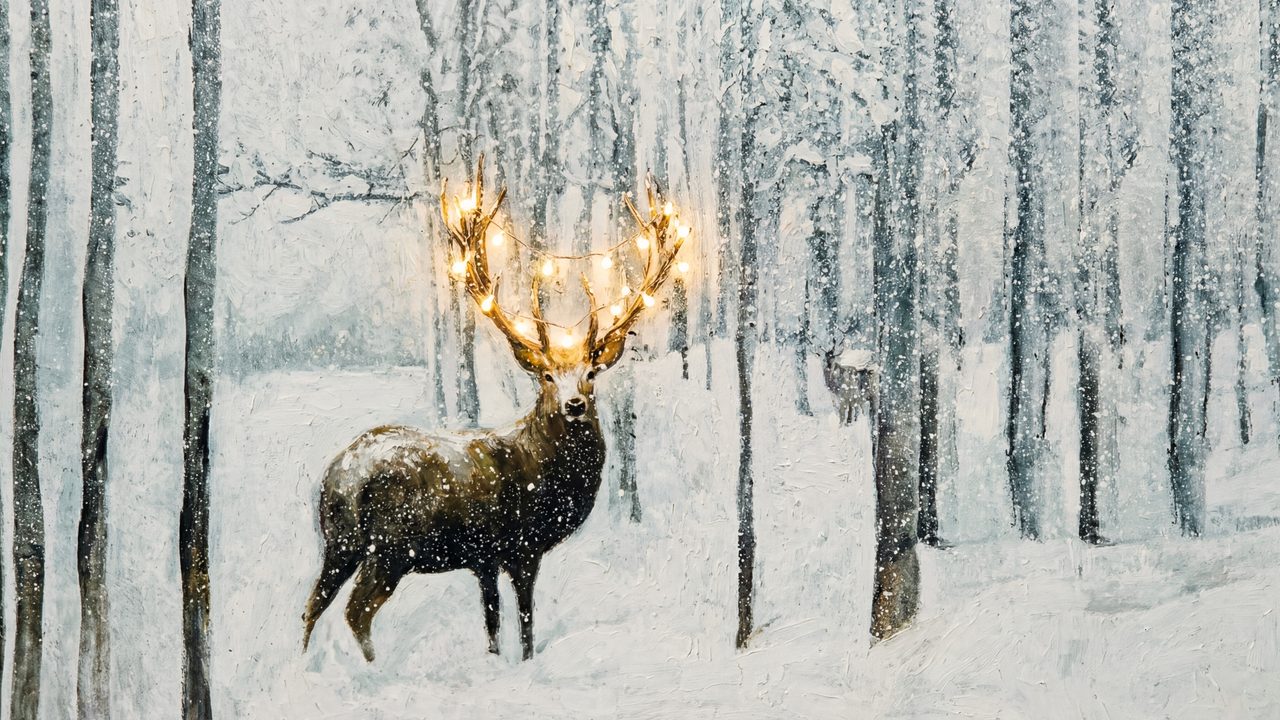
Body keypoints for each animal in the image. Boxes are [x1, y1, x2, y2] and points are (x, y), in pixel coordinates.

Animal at [300, 155, 686, 662]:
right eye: (546, 375)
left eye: (591, 373)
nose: (575, 404)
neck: (545, 476)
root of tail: (340, 475)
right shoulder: (520, 546)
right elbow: (525, 624)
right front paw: (525, 663)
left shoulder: (483, 559)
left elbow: (491, 622)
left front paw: (493, 660)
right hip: (391, 546)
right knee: (355, 611)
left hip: (338, 541)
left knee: (311, 606)